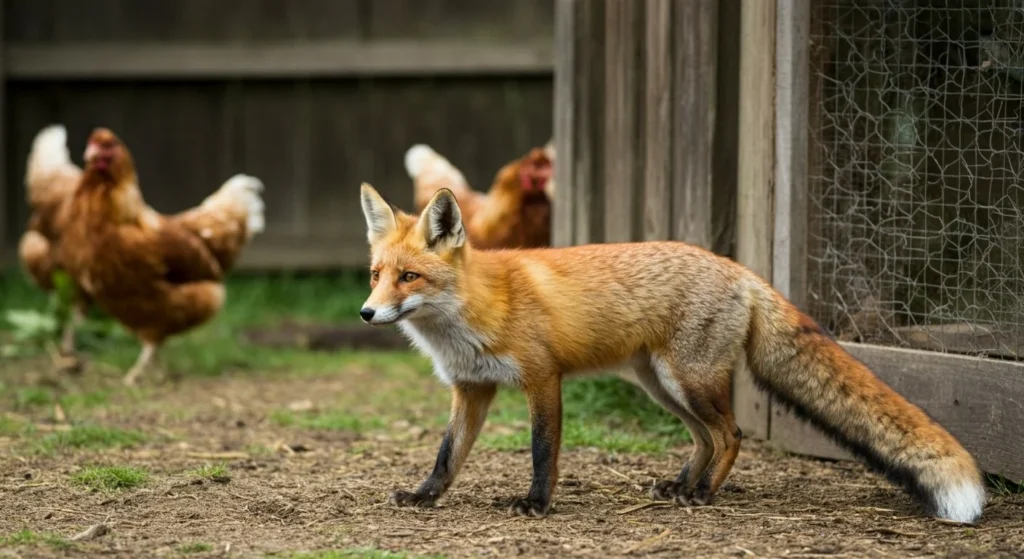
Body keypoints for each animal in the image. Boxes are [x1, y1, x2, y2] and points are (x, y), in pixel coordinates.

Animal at [357, 182, 986, 524]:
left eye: (409, 278)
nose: (365, 314)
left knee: (730, 434)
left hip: (686, 381)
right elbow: (447, 456)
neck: (471, 312)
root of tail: (740, 269)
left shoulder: (542, 377)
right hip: (661, 385)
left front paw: (536, 504)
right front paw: (422, 497)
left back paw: (703, 494)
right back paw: (681, 486)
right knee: (705, 438)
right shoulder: (472, 387)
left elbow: (542, 452)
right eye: (375, 275)